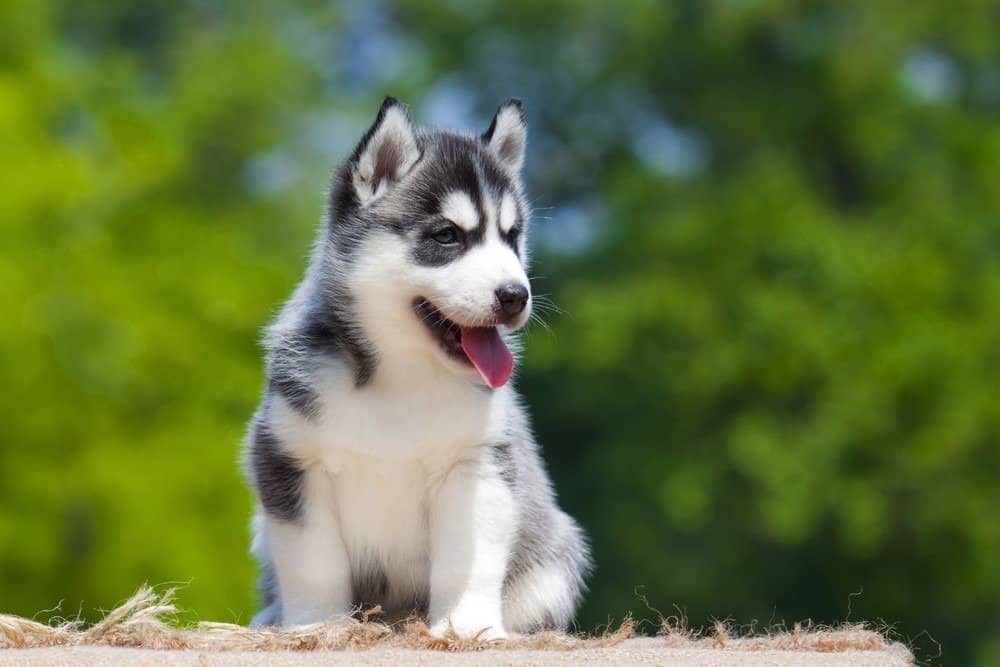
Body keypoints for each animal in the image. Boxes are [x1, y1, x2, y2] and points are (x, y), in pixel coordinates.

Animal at [246, 98, 588, 636]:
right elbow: (312, 563)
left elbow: (468, 560)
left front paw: (466, 627)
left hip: (554, 560)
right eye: (447, 236)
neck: (399, 377)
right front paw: (317, 626)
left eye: (511, 237)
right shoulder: (288, 456)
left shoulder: (477, 464)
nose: (516, 295)